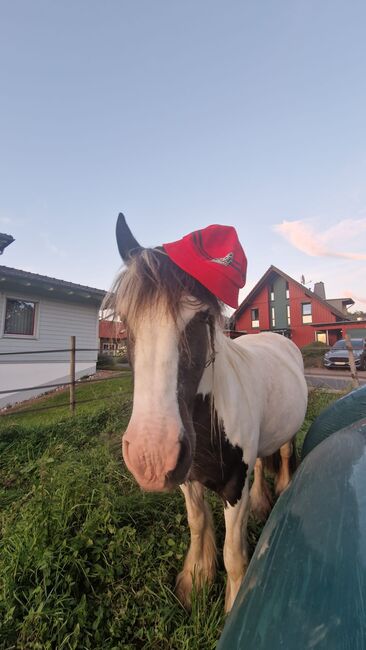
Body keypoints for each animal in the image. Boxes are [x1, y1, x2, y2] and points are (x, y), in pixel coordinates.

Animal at [108, 214, 308, 612]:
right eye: (125, 318)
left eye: (201, 318)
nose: (151, 457)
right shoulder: (188, 477)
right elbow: (198, 524)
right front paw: (195, 581)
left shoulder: (232, 487)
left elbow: (233, 554)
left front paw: (233, 604)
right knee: (261, 462)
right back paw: (262, 502)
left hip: (286, 435)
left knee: (283, 454)